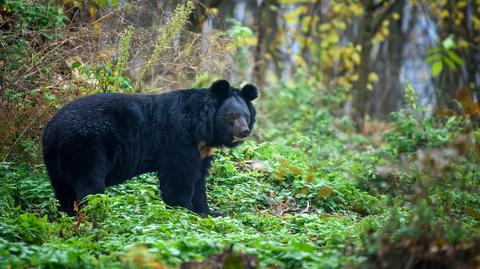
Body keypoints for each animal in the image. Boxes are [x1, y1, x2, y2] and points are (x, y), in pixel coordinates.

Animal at [42, 79, 256, 216]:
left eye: (246, 115)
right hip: (87, 146)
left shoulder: (202, 151)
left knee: (64, 189)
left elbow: (199, 180)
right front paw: (186, 211)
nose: (244, 131)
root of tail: (53, 129)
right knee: (89, 183)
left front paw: (211, 212)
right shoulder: (179, 141)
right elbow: (179, 177)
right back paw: (98, 211)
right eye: (231, 116)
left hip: (58, 160)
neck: (203, 130)